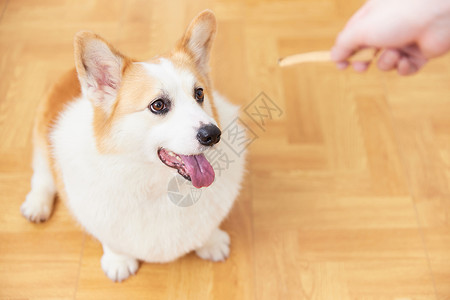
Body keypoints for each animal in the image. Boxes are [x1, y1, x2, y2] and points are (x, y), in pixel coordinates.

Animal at [19, 9, 246, 282]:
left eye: (199, 94)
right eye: (158, 105)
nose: (213, 135)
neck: (160, 185)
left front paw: (211, 242)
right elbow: (112, 240)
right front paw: (119, 261)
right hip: (43, 141)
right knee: (42, 177)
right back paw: (36, 205)